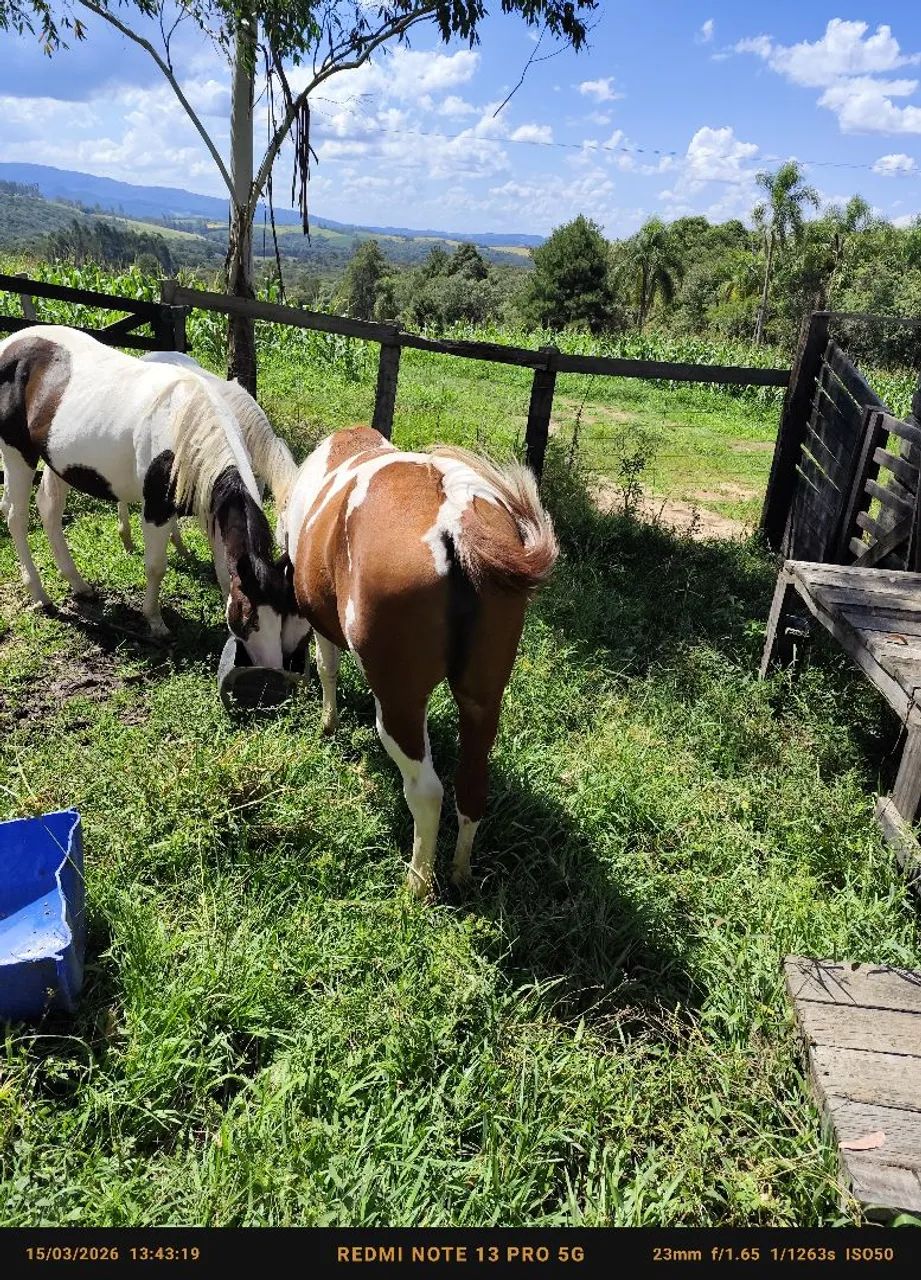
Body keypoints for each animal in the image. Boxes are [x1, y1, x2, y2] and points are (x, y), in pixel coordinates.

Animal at [0, 324, 297, 665]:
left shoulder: (211, 509)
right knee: (17, 518)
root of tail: (11, 344)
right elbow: (156, 567)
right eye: (250, 619)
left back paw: (77, 582)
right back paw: (40, 593)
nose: (273, 669)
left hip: (58, 461)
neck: (186, 427)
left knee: (49, 509)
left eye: (282, 614)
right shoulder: (157, 510)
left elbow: (224, 570)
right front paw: (155, 622)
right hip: (18, 453)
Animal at [284, 425, 558, 897]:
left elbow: (326, 667)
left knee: (427, 792)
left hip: (399, 703)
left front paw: (327, 724)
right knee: (471, 785)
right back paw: (461, 872)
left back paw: (417, 884)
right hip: (483, 699)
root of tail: (458, 522)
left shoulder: (320, 621)